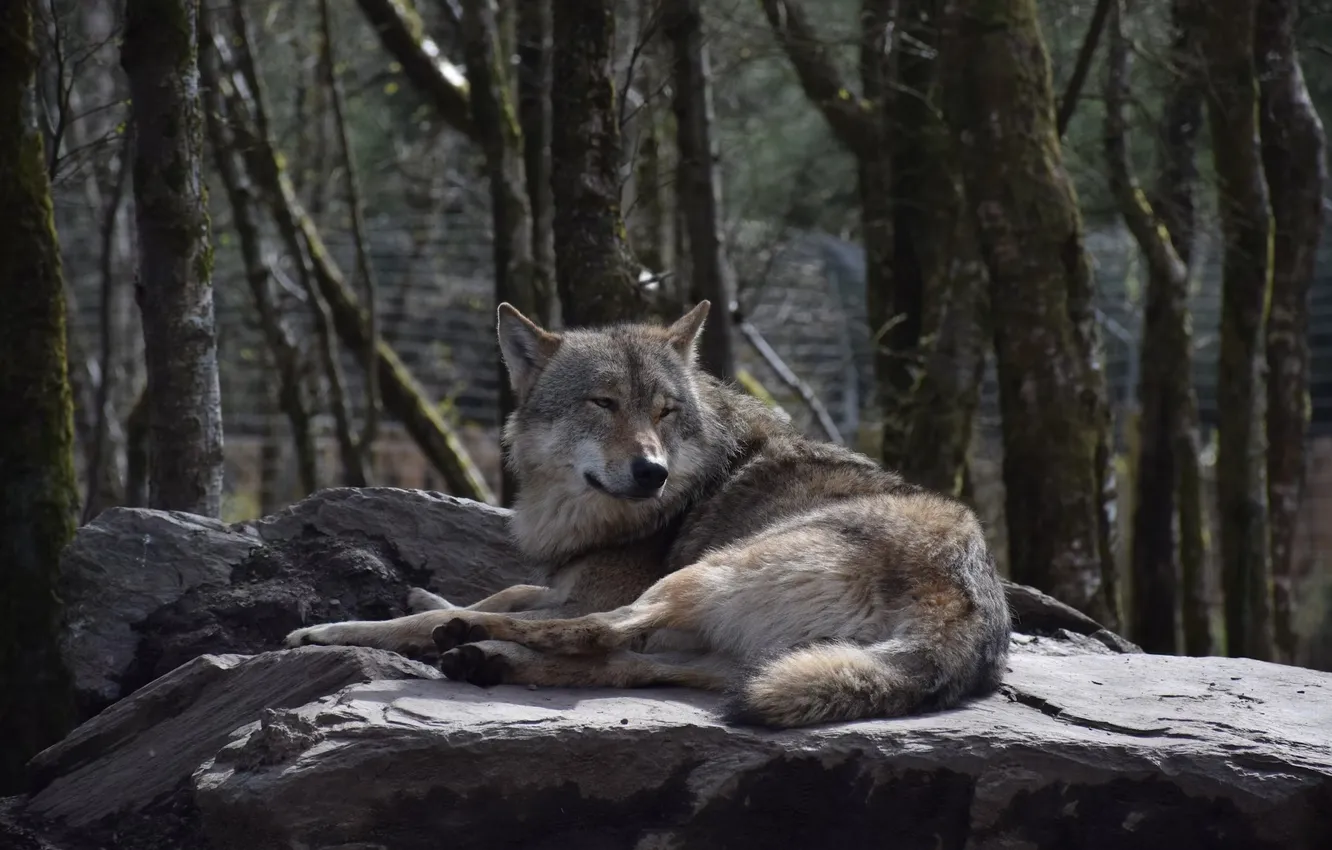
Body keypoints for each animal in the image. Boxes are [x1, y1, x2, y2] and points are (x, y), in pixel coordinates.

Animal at [285, 301, 1011, 728]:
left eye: (664, 410)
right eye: (603, 402)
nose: (651, 473)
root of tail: (968, 611)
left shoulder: (596, 588)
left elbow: (510, 605)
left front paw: (348, 627)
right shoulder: (562, 578)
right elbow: (513, 586)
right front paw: (425, 595)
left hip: (708, 572)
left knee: (600, 631)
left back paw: (466, 640)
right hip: (734, 653)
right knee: (626, 660)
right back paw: (487, 660)